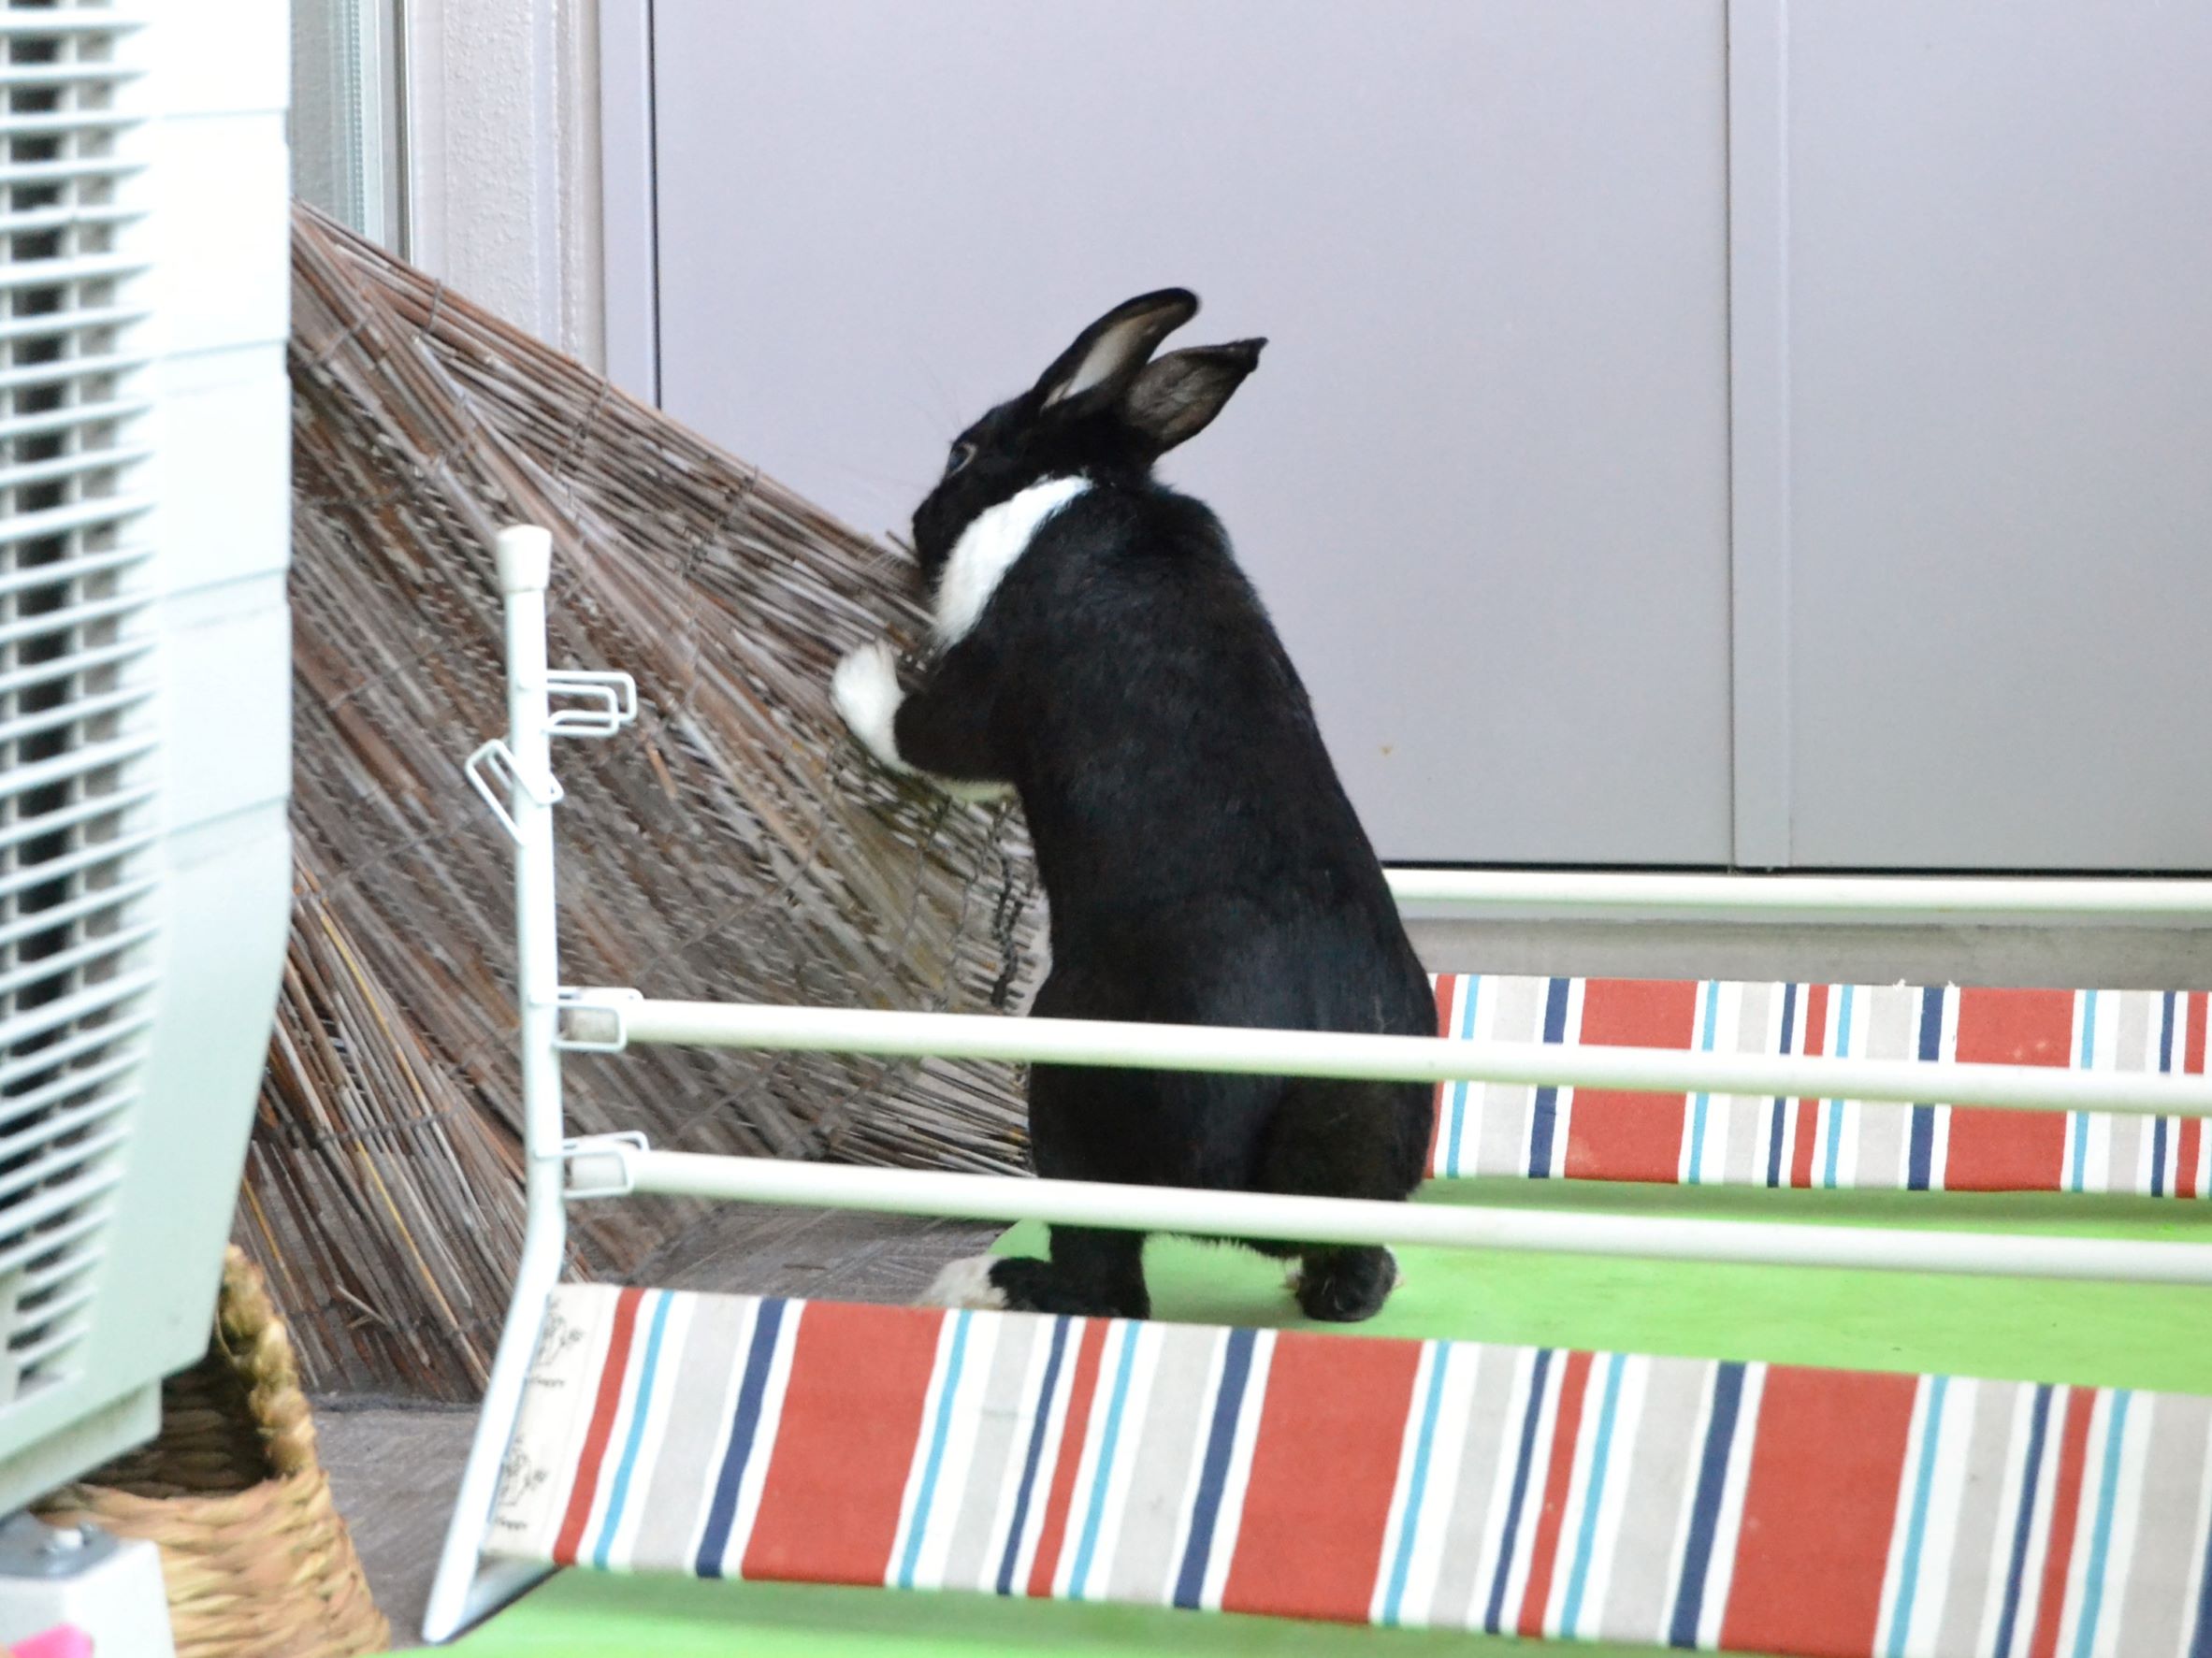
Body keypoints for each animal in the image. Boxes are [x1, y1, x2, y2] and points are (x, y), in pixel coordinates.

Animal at [831, 288, 1435, 1323]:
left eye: (962, 452)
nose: (917, 518)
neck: (1077, 481)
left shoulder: (979, 696)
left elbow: (920, 734)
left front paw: (856, 673)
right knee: (1351, 1275)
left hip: (1069, 1087)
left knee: (1111, 1289)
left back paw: (986, 1282)